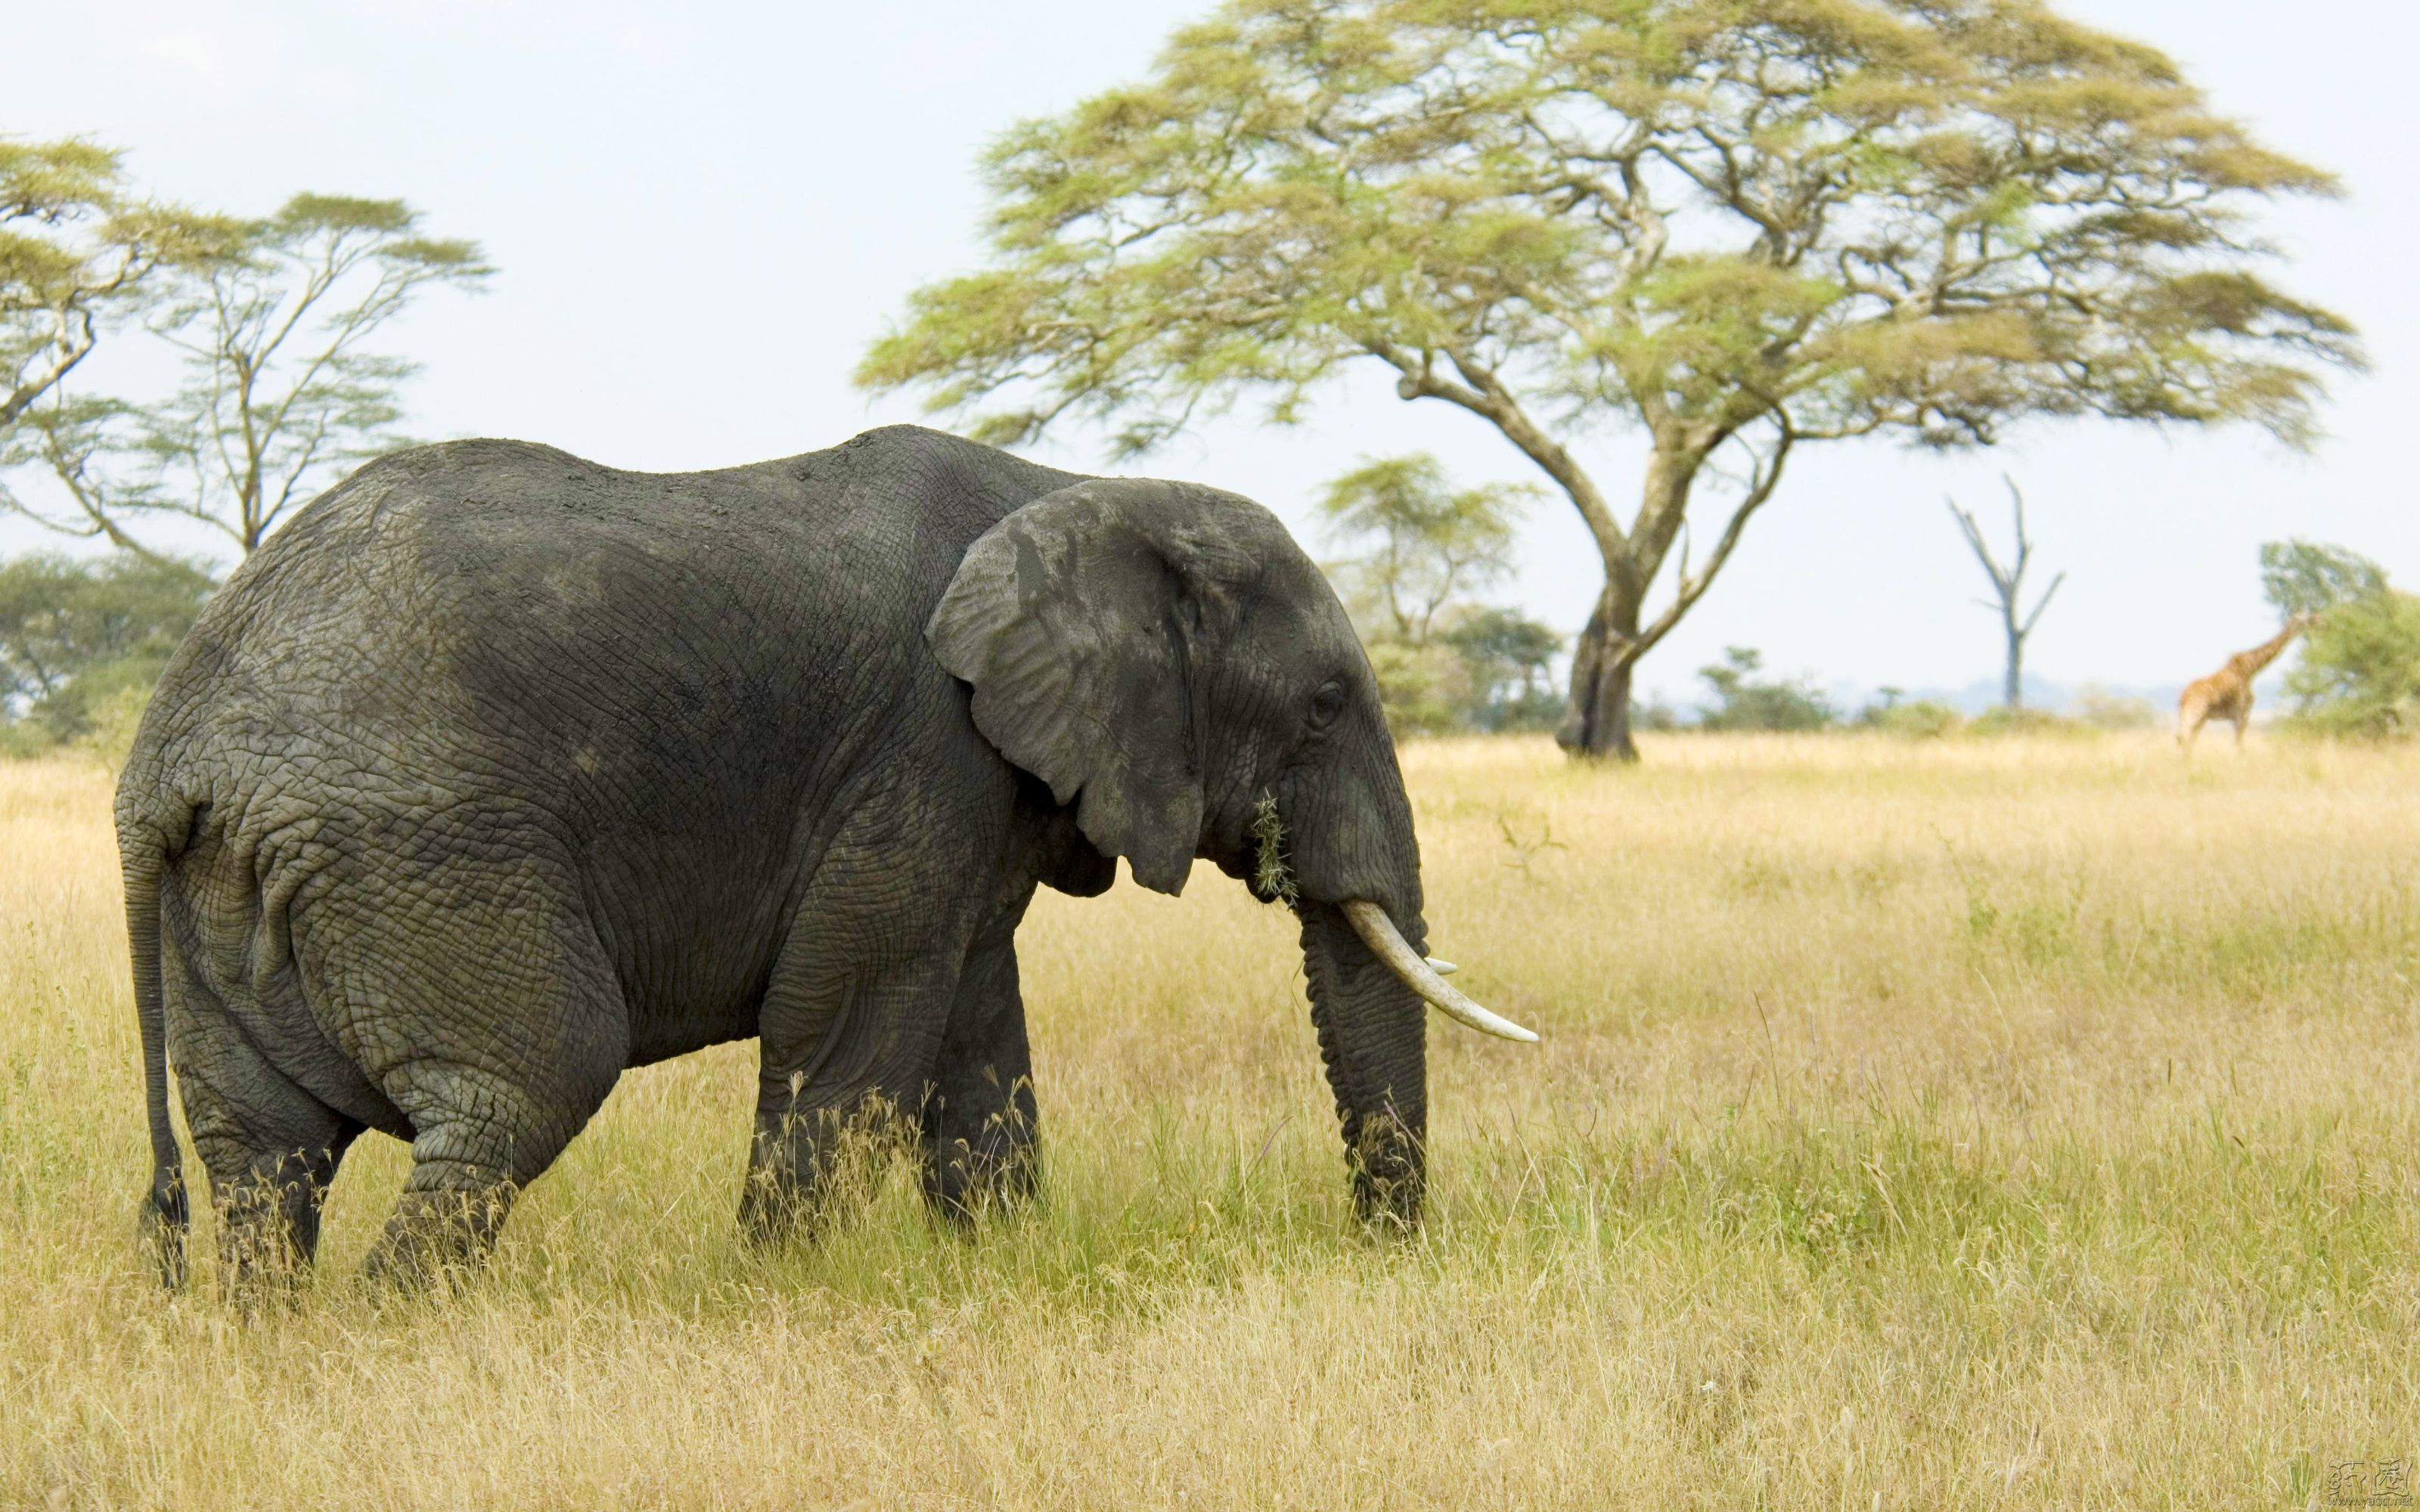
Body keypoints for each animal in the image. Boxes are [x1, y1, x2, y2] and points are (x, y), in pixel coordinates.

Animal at [118, 420, 1529, 1287]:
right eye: (1326, 706)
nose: (1380, 1252)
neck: (1074, 491)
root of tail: (168, 755)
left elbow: (974, 1038)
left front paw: (995, 1271)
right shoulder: (922, 749)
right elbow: (848, 1031)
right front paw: (774, 1291)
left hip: (239, 889)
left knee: (264, 1159)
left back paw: (282, 1346)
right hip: (422, 851)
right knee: (519, 1092)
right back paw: (395, 1333)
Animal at [2178, 609, 2323, 750]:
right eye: (2309, 616)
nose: (2322, 621)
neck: (2251, 669)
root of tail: (2182, 698)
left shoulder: (2238, 717)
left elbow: (2239, 746)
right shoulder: (2242, 714)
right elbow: (2240, 747)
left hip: (2194, 719)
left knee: (2185, 742)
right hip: (2195, 716)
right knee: (2186, 741)